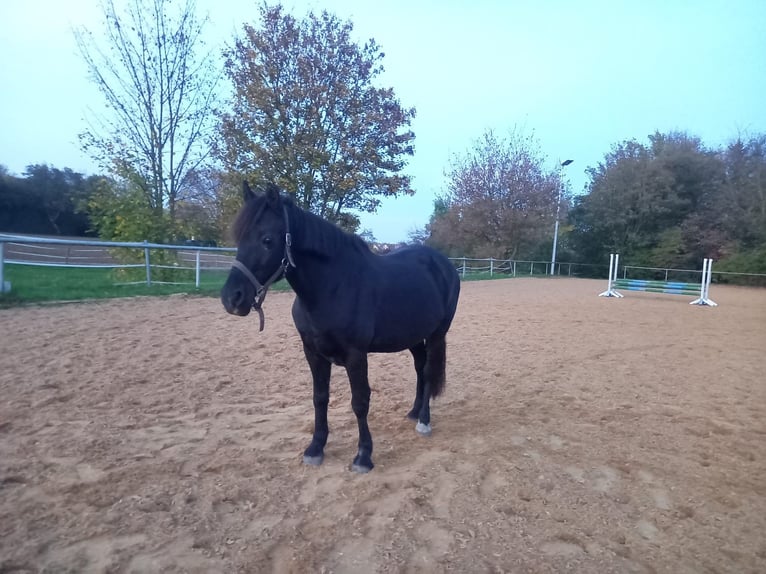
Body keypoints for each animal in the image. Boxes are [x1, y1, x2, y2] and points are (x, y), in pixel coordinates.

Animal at [222, 182, 462, 474]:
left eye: (267, 240)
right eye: (239, 238)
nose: (232, 299)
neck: (332, 287)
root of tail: (444, 264)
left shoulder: (355, 355)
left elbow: (360, 401)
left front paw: (363, 456)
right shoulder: (312, 353)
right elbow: (320, 397)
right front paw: (315, 448)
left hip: (437, 333)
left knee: (427, 371)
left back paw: (424, 421)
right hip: (414, 336)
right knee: (419, 367)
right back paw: (414, 412)